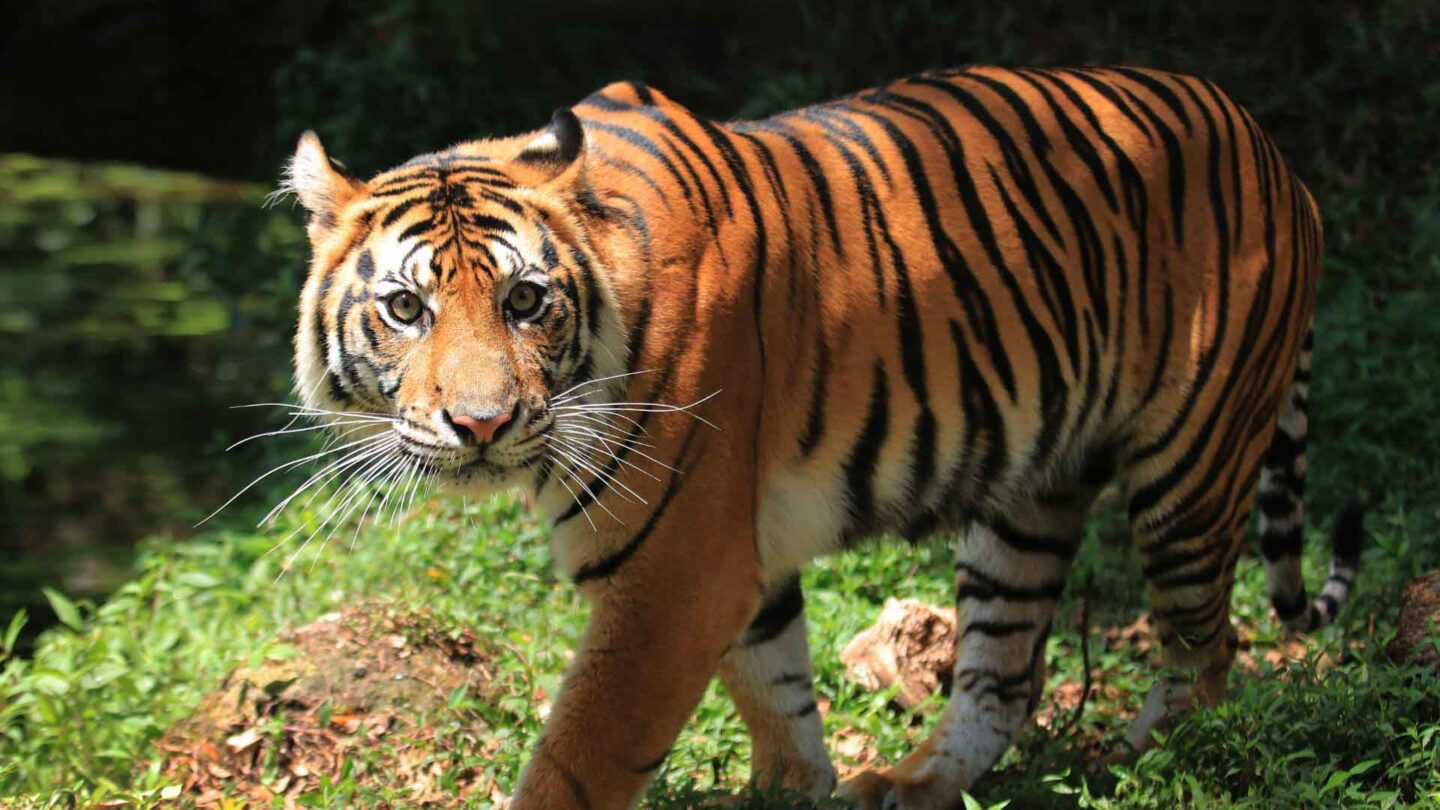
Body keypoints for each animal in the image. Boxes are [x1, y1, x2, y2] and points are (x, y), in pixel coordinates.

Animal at [282, 66, 1364, 809]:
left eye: (524, 300)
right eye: (406, 308)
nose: (483, 423)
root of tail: (1276, 155)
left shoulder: (676, 574)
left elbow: (581, 757)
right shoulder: (729, 564)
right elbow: (776, 690)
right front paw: (799, 791)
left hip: (1189, 473)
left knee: (1208, 653)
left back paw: (1140, 763)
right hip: (1029, 499)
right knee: (1005, 674)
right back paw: (913, 785)